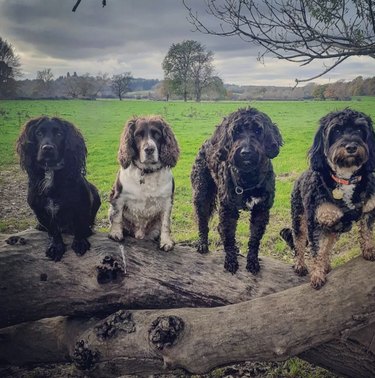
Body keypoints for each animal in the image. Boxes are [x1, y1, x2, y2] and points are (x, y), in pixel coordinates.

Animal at [16, 116, 101, 262]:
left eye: (59, 134)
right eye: (39, 133)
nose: (47, 148)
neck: (51, 172)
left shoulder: (81, 205)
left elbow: (80, 225)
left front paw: (80, 242)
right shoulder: (40, 210)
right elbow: (53, 230)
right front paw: (56, 247)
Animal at [192, 108, 284, 274]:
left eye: (258, 130)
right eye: (236, 132)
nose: (245, 152)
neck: (248, 178)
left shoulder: (261, 210)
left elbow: (254, 239)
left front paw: (253, 261)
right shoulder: (228, 209)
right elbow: (228, 235)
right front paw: (230, 261)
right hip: (201, 193)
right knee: (203, 221)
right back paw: (202, 243)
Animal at [282, 109, 375, 290]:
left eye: (359, 130)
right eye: (336, 131)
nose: (351, 147)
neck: (345, 178)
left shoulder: (368, 209)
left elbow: (366, 232)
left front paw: (369, 250)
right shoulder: (316, 223)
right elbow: (316, 250)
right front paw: (317, 275)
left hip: (333, 228)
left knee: (327, 247)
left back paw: (326, 265)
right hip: (299, 218)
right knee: (299, 243)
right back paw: (300, 265)